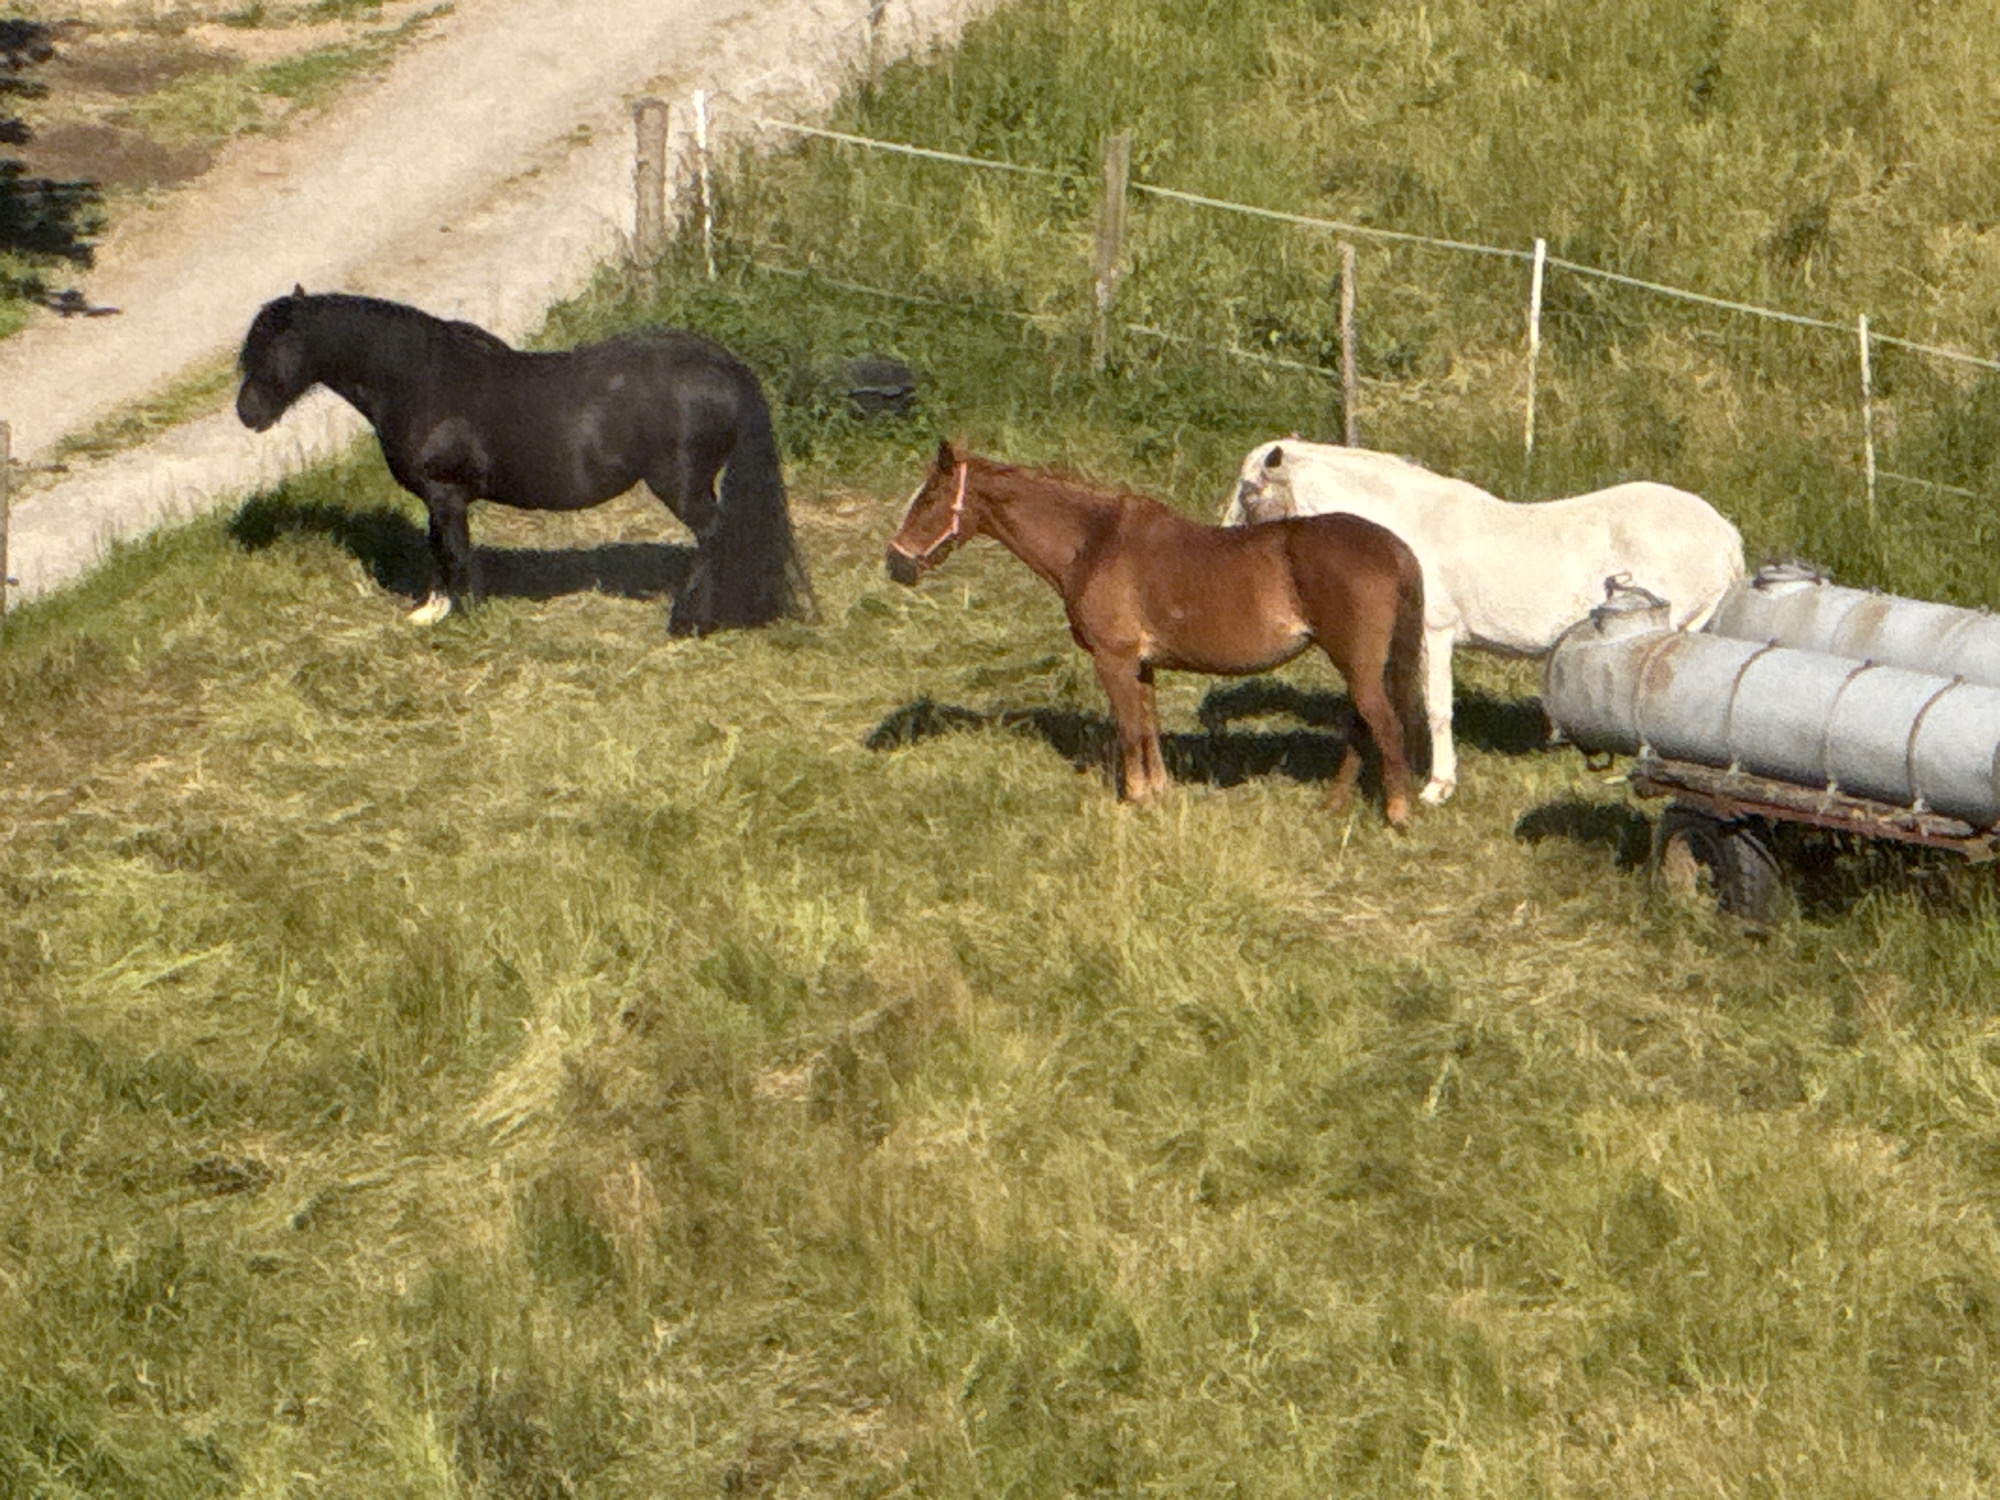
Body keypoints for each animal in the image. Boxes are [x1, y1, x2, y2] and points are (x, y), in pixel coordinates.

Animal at [235, 288, 813, 634]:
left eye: (272, 350)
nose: (247, 413)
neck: (422, 381)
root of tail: (724, 366)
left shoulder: (445, 494)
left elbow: (453, 551)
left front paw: (460, 615)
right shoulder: (440, 500)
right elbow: (439, 549)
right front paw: (433, 610)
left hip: (684, 486)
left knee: (716, 537)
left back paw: (692, 620)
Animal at [886, 440, 1429, 826]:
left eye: (930, 498)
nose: (895, 563)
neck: (1094, 540)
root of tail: (1395, 548)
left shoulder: (1114, 659)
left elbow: (1129, 729)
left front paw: (1136, 798)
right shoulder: (1142, 665)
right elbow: (1148, 726)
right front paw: (1158, 793)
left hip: (1358, 665)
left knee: (1384, 726)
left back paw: (1397, 815)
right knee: (1362, 728)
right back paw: (1334, 805)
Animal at [1223, 439, 1744, 803]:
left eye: (1248, 491)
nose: (1226, 541)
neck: (1404, 527)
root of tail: (1725, 534)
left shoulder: (1434, 634)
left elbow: (1435, 708)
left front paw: (1437, 785)